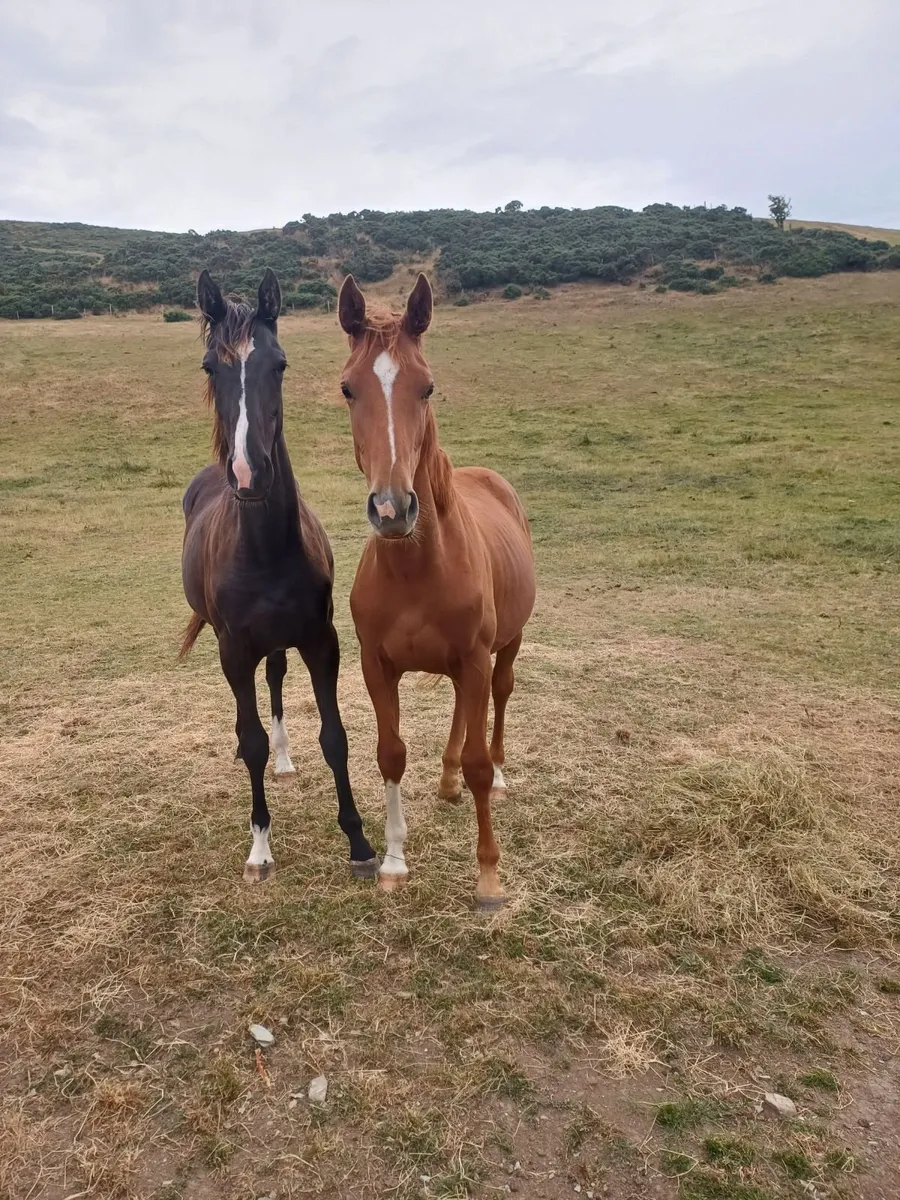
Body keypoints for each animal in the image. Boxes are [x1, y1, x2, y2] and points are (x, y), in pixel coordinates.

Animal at [179, 268, 377, 883]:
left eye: (280, 364)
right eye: (209, 366)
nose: (249, 473)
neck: (264, 548)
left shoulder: (321, 639)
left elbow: (335, 737)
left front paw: (359, 842)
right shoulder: (234, 649)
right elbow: (252, 740)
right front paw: (260, 847)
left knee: (275, 682)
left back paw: (288, 760)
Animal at [337, 272, 536, 910]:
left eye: (426, 387)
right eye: (348, 389)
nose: (392, 509)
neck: (416, 570)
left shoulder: (475, 656)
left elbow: (477, 760)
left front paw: (489, 877)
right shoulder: (377, 666)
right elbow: (390, 753)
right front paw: (393, 861)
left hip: (506, 647)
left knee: (497, 700)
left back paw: (498, 775)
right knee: (459, 712)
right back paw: (446, 780)